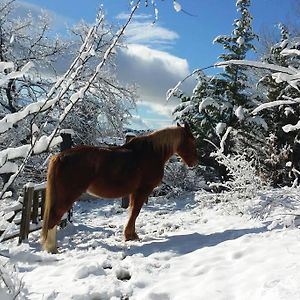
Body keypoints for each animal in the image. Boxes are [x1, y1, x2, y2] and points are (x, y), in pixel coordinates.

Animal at [41, 123, 198, 252]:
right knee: (53, 218)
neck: (151, 153)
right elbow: (135, 212)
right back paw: (52, 249)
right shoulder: (143, 190)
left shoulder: (135, 192)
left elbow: (132, 212)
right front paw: (131, 236)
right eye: (192, 141)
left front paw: (130, 235)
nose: (194, 163)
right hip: (67, 196)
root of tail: (59, 157)